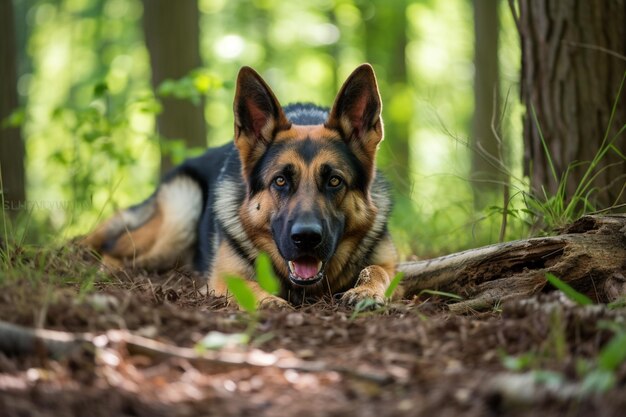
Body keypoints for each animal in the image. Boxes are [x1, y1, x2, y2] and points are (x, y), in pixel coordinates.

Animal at [84, 63, 394, 308]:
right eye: (280, 181)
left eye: (334, 181)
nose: (306, 237)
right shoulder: (224, 277)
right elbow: (247, 285)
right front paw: (269, 301)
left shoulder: (390, 263)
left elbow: (377, 270)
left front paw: (366, 291)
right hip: (179, 215)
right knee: (116, 248)